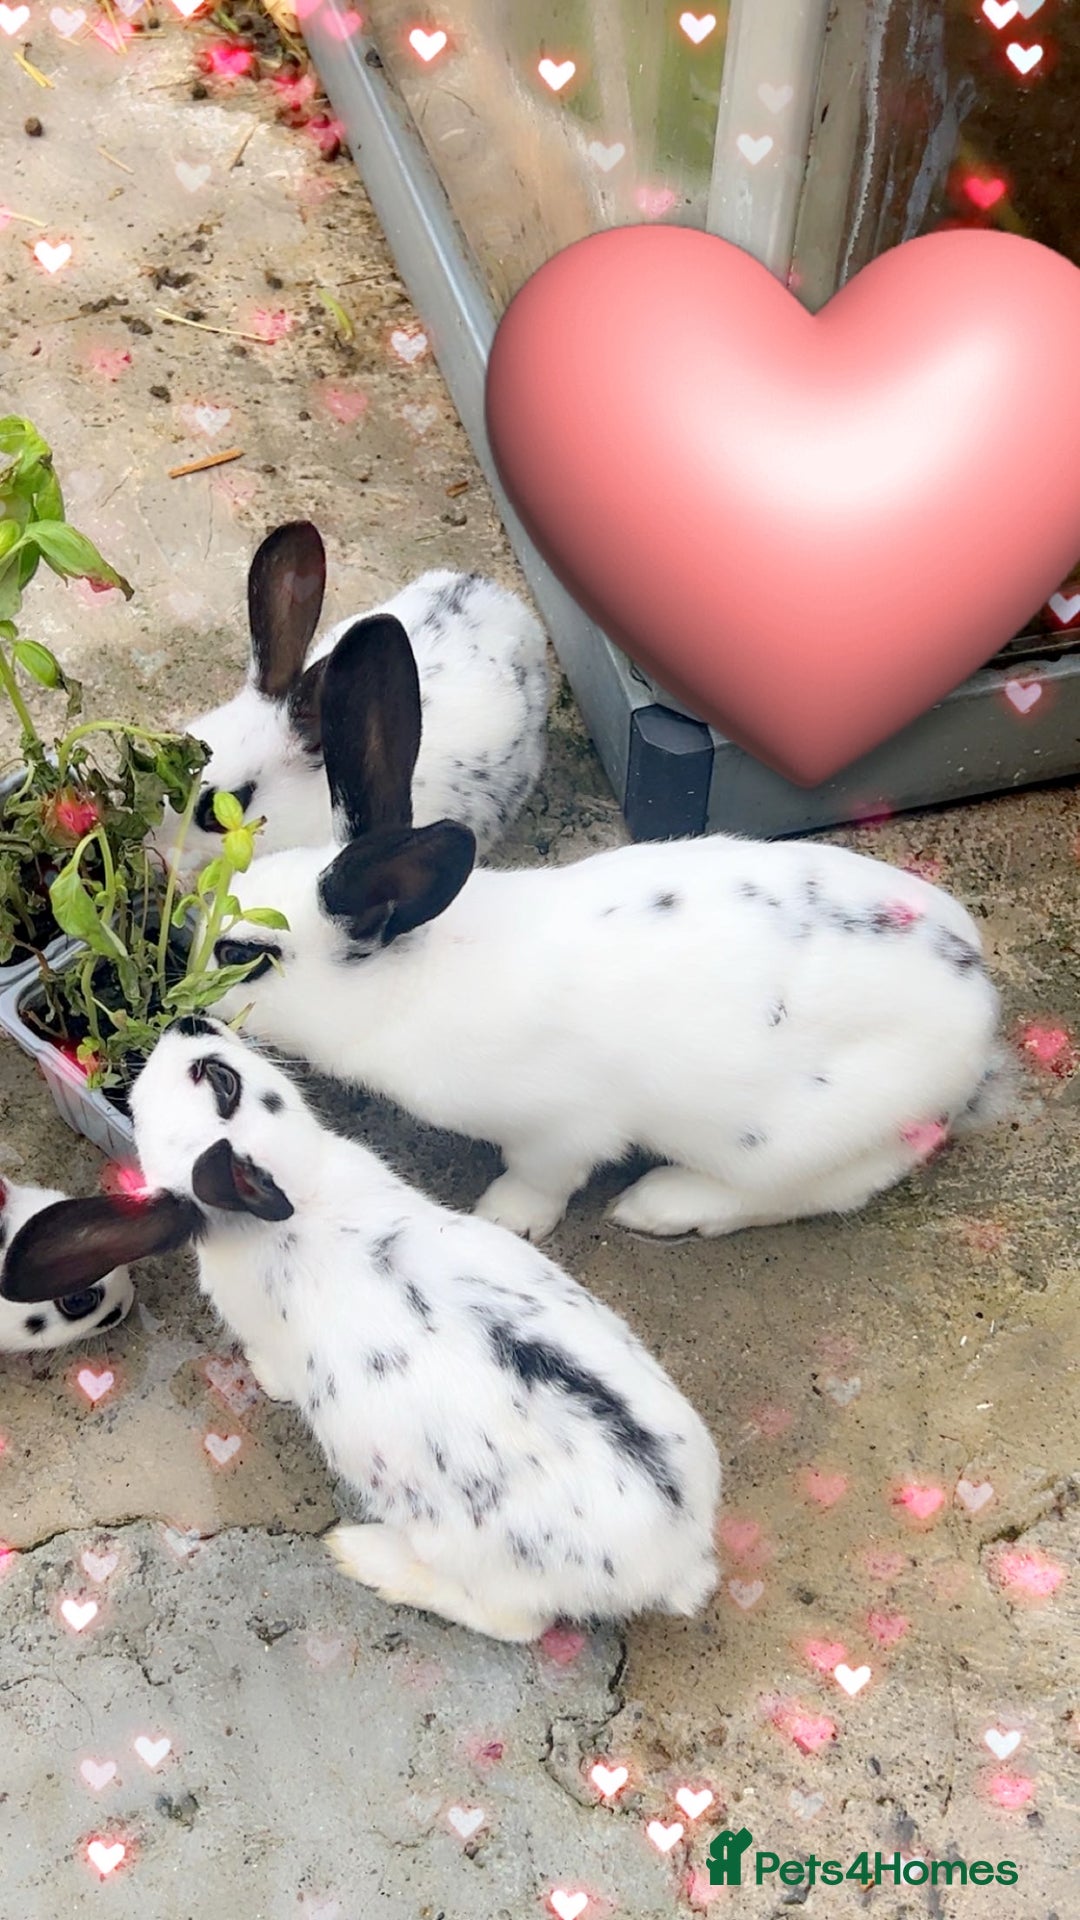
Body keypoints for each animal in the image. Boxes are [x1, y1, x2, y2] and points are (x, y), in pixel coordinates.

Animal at [200, 615, 1008, 1244]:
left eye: (246, 954)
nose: (183, 989)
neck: (413, 982)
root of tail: (978, 997)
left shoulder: (560, 1129)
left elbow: (541, 1177)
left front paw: (505, 1219)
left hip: (787, 1138)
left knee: (843, 1181)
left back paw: (661, 1206)